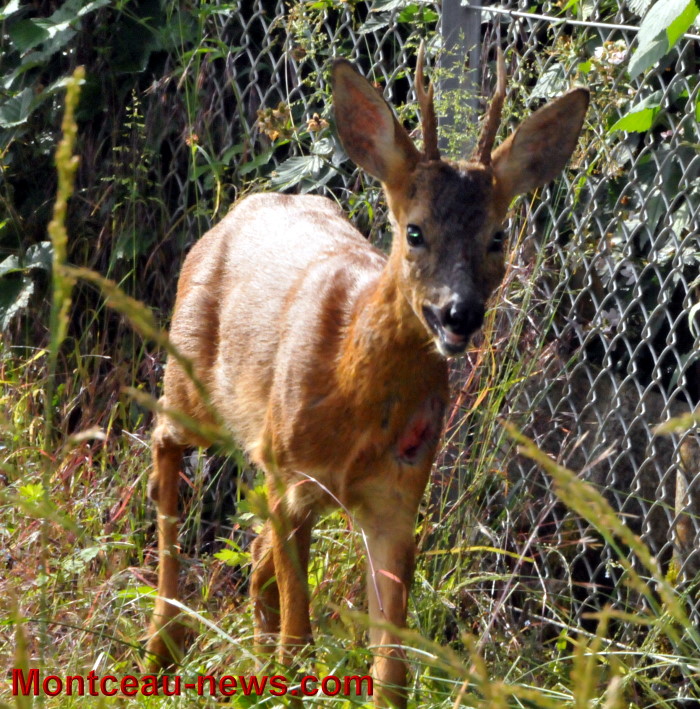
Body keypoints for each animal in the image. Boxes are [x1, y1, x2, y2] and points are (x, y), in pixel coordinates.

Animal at [145, 46, 589, 707]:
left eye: (497, 236)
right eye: (415, 230)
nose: (459, 313)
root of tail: (245, 206)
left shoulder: (397, 498)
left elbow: (391, 665)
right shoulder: (290, 472)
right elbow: (300, 639)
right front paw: (286, 684)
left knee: (256, 559)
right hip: (193, 379)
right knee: (164, 447)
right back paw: (161, 645)